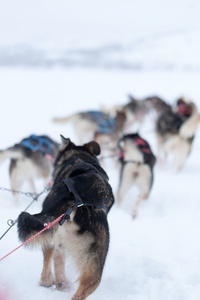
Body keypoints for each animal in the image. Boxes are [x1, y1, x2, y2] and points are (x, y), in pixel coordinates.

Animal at [17, 137, 114, 300]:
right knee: (82, 290)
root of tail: (77, 202)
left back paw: (48, 281)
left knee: (48, 254)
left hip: (51, 230)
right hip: (95, 268)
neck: (79, 156)